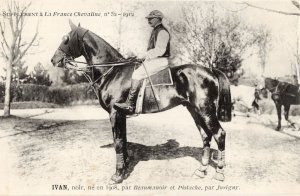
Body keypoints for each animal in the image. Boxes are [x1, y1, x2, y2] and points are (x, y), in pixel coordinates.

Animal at [50, 20, 231, 183]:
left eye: (66, 38)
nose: (53, 60)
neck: (113, 71)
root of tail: (210, 70)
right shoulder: (121, 114)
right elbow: (123, 141)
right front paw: (124, 168)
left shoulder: (115, 113)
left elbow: (118, 142)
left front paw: (117, 175)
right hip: (193, 110)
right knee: (206, 135)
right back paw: (201, 170)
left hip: (205, 110)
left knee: (219, 134)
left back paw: (220, 173)